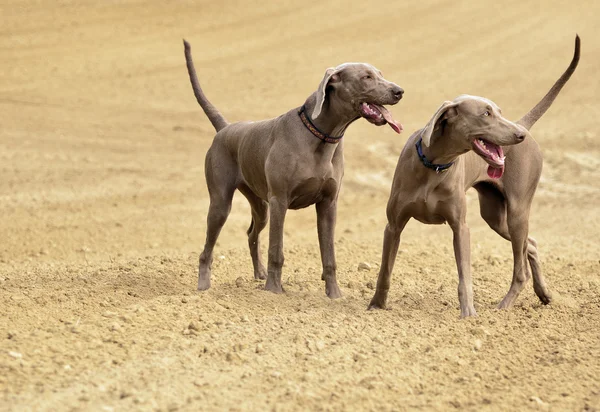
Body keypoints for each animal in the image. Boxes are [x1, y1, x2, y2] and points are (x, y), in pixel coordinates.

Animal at [183, 40, 404, 298]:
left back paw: (259, 274)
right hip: (222, 203)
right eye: (366, 77)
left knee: (251, 235)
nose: (399, 91)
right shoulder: (280, 200)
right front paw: (273, 291)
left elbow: (329, 256)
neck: (320, 135)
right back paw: (204, 286)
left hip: (261, 206)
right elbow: (276, 251)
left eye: (381, 74)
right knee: (207, 249)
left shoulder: (328, 204)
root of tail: (225, 128)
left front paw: (334, 295)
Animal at [368, 36, 580, 318]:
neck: (434, 166)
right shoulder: (394, 225)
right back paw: (544, 293)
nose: (519, 135)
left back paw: (503, 307)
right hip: (495, 216)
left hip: (516, 211)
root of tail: (524, 123)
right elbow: (385, 270)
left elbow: (464, 276)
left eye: (498, 111)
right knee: (531, 244)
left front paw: (469, 314)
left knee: (520, 268)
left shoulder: (460, 227)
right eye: (486, 113)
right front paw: (376, 305)